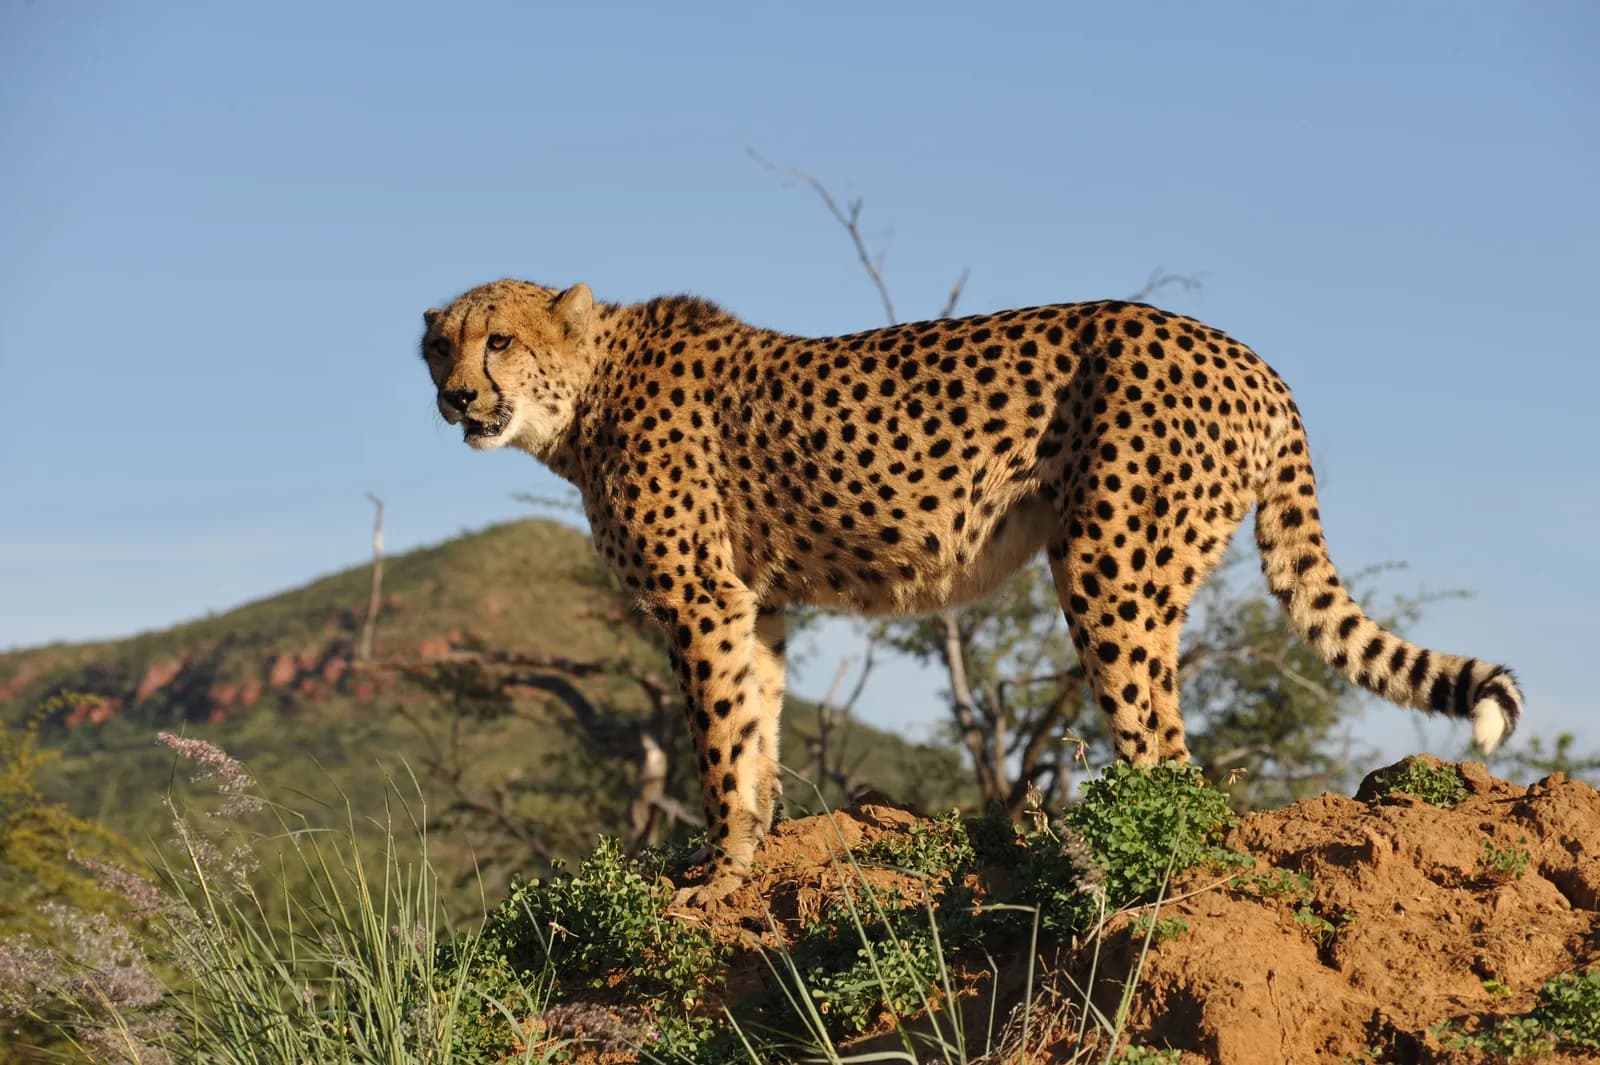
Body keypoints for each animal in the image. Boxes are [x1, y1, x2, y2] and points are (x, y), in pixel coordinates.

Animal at [418, 278, 1523, 904]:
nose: (455, 397)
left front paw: (717, 873)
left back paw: (1112, 868)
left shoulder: (701, 601)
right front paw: (752, 853)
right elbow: (756, 729)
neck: (586, 395)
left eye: (499, 341)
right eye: (439, 345)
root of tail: (1247, 355)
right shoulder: (754, 606)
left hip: (1108, 564)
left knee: (1167, 753)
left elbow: (720, 744)